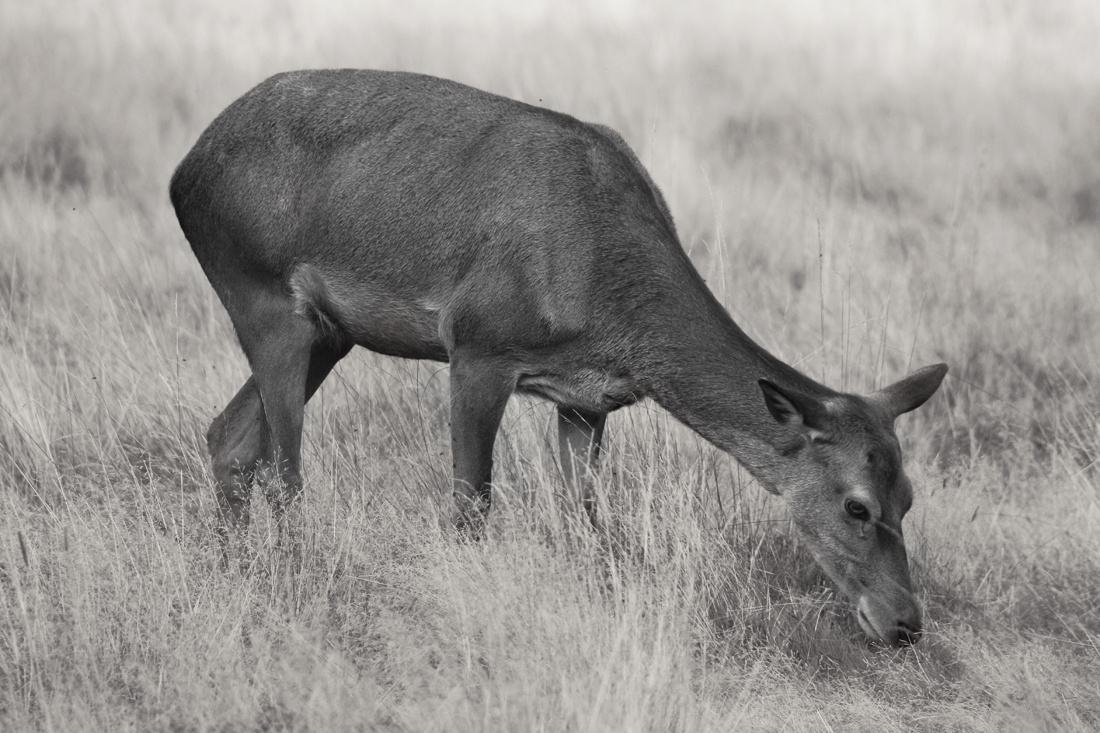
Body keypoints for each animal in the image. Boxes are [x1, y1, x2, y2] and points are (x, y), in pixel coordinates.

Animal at [169, 68, 946, 647]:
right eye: (856, 504)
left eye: (910, 496)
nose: (906, 623)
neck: (608, 307)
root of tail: (182, 172)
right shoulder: (477, 345)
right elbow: (471, 506)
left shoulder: (587, 402)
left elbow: (586, 524)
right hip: (262, 293)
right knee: (283, 471)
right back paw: (290, 579)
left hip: (331, 332)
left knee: (230, 438)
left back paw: (233, 570)